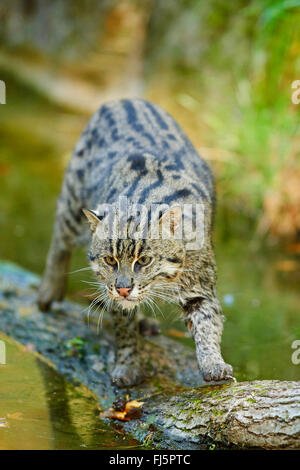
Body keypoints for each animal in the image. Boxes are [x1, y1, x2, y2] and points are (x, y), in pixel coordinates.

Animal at [37, 97, 233, 388]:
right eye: (110, 260)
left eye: (144, 260)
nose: (123, 289)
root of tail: (125, 99)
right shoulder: (112, 291)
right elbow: (123, 328)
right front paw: (127, 366)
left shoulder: (201, 285)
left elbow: (207, 323)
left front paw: (213, 363)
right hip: (73, 197)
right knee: (60, 238)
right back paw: (48, 291)